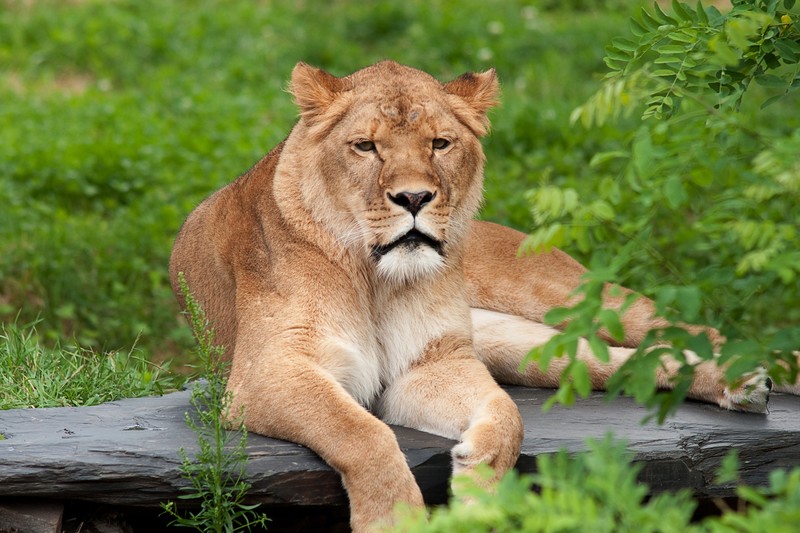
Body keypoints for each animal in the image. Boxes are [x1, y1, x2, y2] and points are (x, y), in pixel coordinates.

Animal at [169, 61, 798, 531]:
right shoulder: (268, 373)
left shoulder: (434, 361)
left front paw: (477, 496)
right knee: (627, 361)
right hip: (525, 347)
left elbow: (507, 417)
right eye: (366, 146)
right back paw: (740, 387)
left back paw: (751, 378)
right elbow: (363, 432)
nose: (414, 198)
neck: (376, 279)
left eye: (440, 144)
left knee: (681, 329)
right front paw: (397, 520)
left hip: (566, 300)